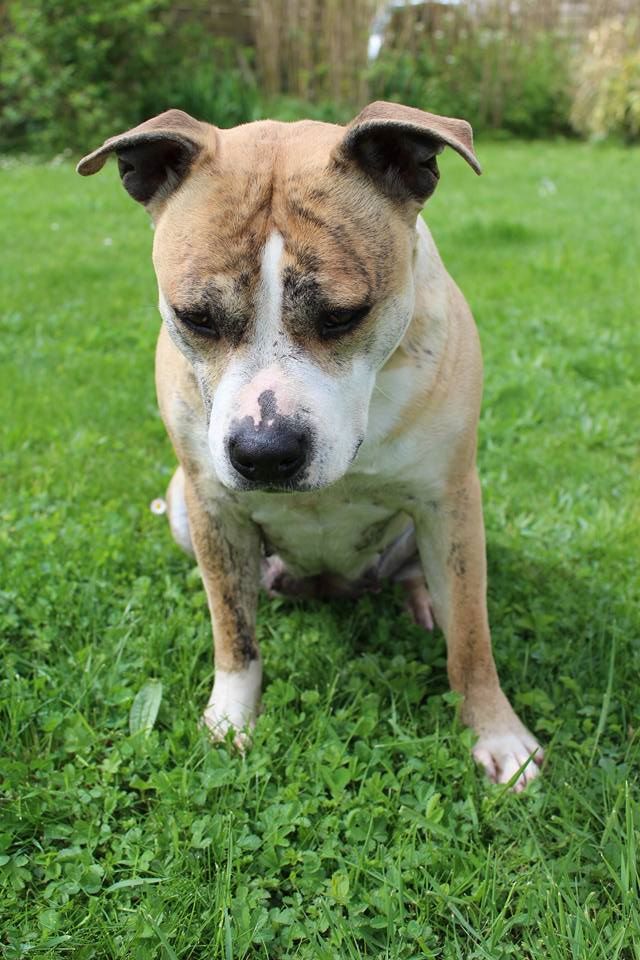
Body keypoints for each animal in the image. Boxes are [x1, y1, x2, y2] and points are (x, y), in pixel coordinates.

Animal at [78, 101, 543, 790]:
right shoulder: (213, 504)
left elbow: (470, 638)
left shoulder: (449, 502)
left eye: (344, 316)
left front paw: (498, 734)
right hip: (184, 506)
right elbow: (233, 632)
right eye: (196, 318)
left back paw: (420, 599)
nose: (265, 452)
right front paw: (231, 717)